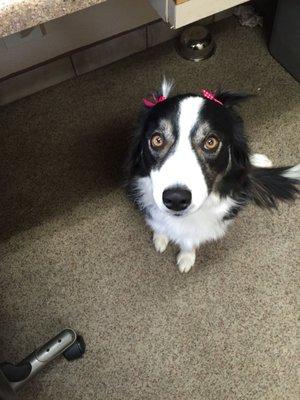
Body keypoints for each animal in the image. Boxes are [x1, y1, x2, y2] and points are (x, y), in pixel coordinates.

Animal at [126, 79, 298, 272]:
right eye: (157, 140)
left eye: (210, 142)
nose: (176, 199)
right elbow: (158, 222)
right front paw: (161, 237)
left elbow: (189, 241)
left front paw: (186, 257)